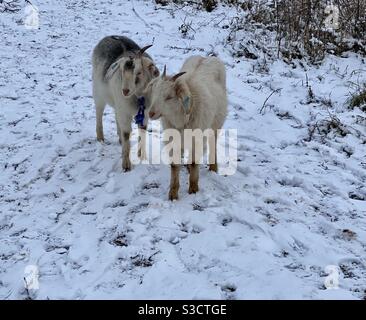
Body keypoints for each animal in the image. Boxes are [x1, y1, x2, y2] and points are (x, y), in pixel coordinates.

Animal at [91, 36, 159, 171]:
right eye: (122, 71)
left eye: (138, 72)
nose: (125, 91)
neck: (138, 97)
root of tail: (109, 36)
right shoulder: (124, 111)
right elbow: (127, 133)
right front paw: (126, 165)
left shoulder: (144, 113)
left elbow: (142, 131)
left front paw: (142, 156)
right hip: (99, 92)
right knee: (99, 112)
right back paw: (100, 137)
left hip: (117, 102)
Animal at [145, 55, 226, 200]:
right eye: (154, 92)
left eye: (169, 97)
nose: (151, 113)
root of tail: (207, 57)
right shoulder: (173, 139)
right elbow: (174, 165)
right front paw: (173, 193)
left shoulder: (197, 138)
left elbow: (194, 162)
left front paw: (193, 189)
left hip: (216, 124)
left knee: (213, 143)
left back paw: (213, 167)